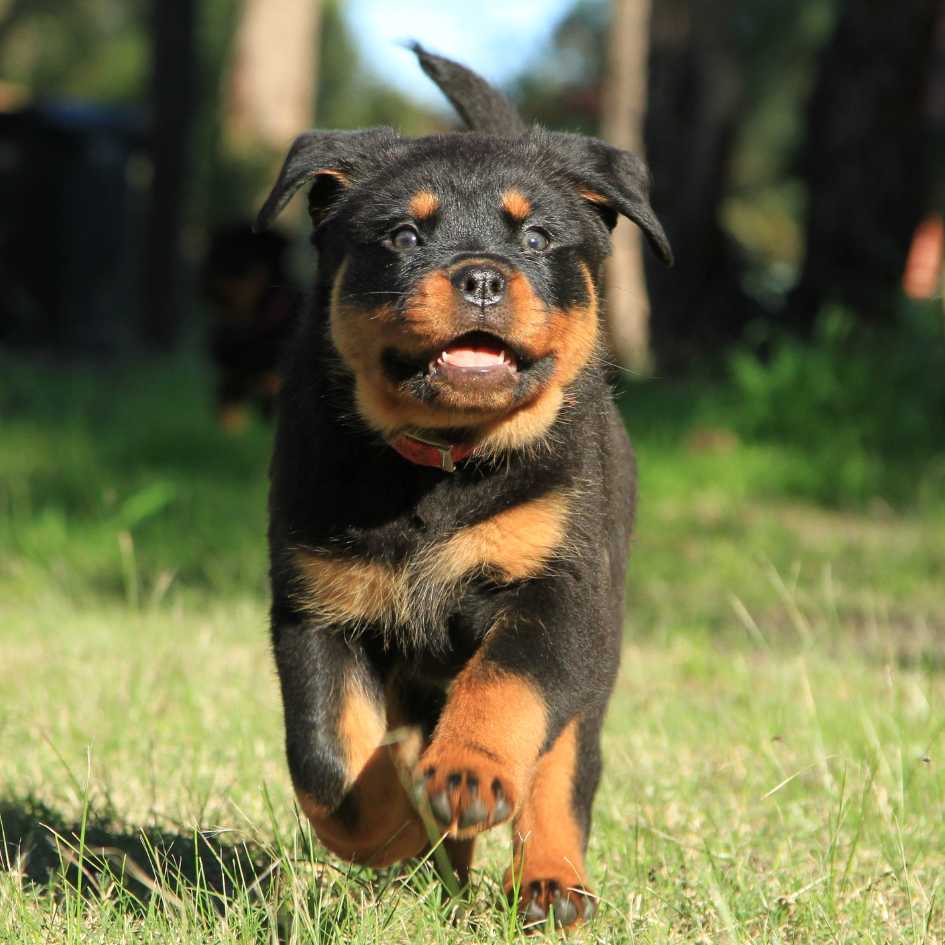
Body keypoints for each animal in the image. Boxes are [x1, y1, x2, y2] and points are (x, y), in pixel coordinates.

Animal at [256, 48, 672, 924]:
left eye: (539, 236)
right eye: (404, 234)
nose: (480, 276)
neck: (441, 465)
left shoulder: (559, 592)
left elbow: (505, 687)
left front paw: (465, 774)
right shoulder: (314, 606)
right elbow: (325, 761)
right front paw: (396, 816)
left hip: (597, 657)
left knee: (563, 766)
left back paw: (548, 880)